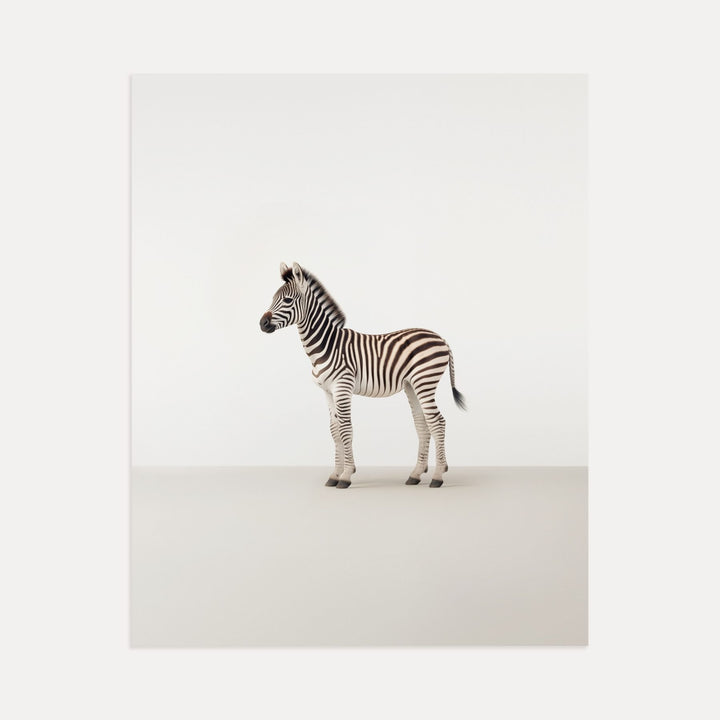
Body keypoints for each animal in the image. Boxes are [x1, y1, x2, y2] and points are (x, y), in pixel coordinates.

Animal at [259, 262, 467, 488]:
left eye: (287, 300)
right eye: (272, 298)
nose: (262, 323)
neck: (326, 345)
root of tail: (441, 338)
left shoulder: (342, 387)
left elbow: (346, 428)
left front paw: (346, 475)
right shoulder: (327, 391)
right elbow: (334, 430)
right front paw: (334, 475)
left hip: (425, 381)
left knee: (437, 422)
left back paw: (438, 476)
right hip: (412, 385)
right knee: (422, 423)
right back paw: (416, 474)